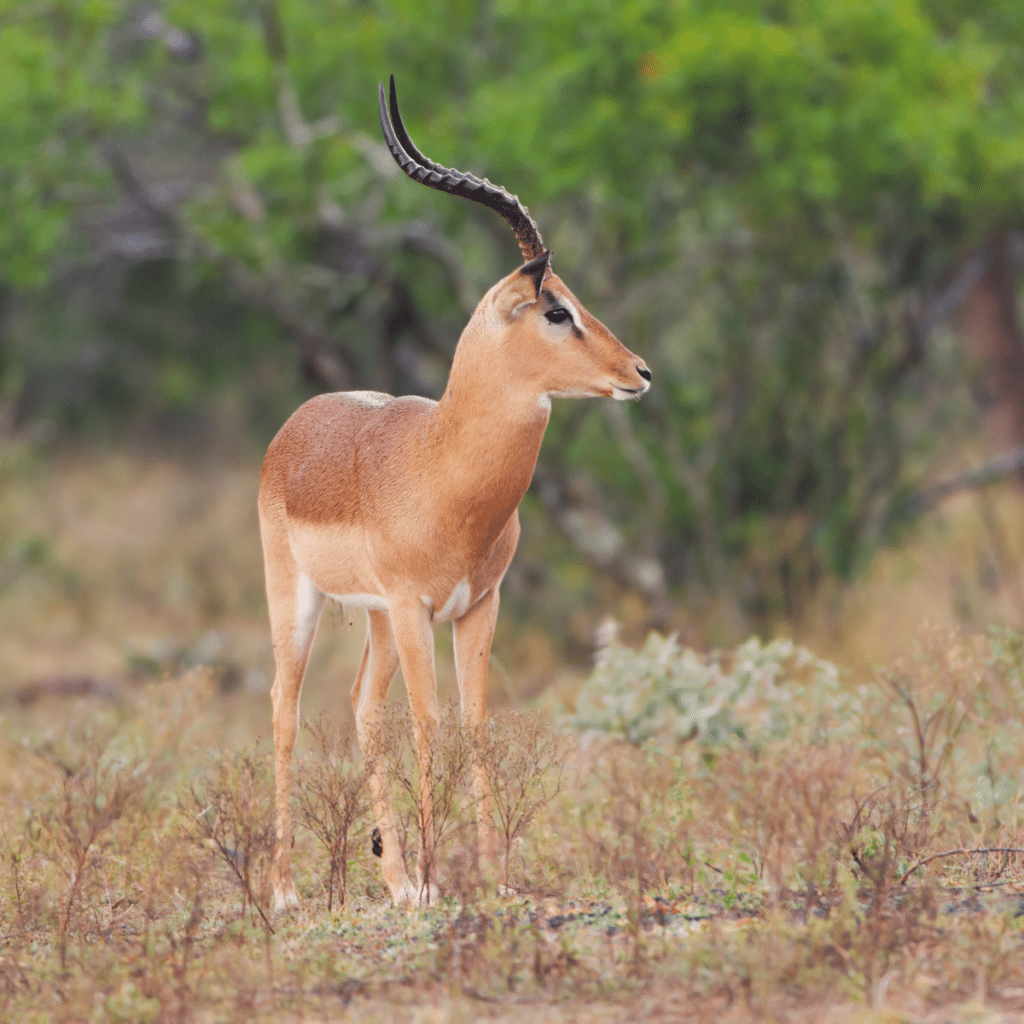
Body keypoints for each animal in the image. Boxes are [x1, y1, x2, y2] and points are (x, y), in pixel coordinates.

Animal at [260, 79, 651, 913]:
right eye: (556, 309)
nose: (639, 373)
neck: (445, 469)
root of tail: (300, 421)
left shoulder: (479, 605)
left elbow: (472, 723)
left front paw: (490, 879)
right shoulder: (416, 607)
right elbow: (430, 722)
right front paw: (444, 881)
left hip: (376, 621)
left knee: (361, 707)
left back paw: (396, 881)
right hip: (300, 599)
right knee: (285, 704)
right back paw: (285, 893)